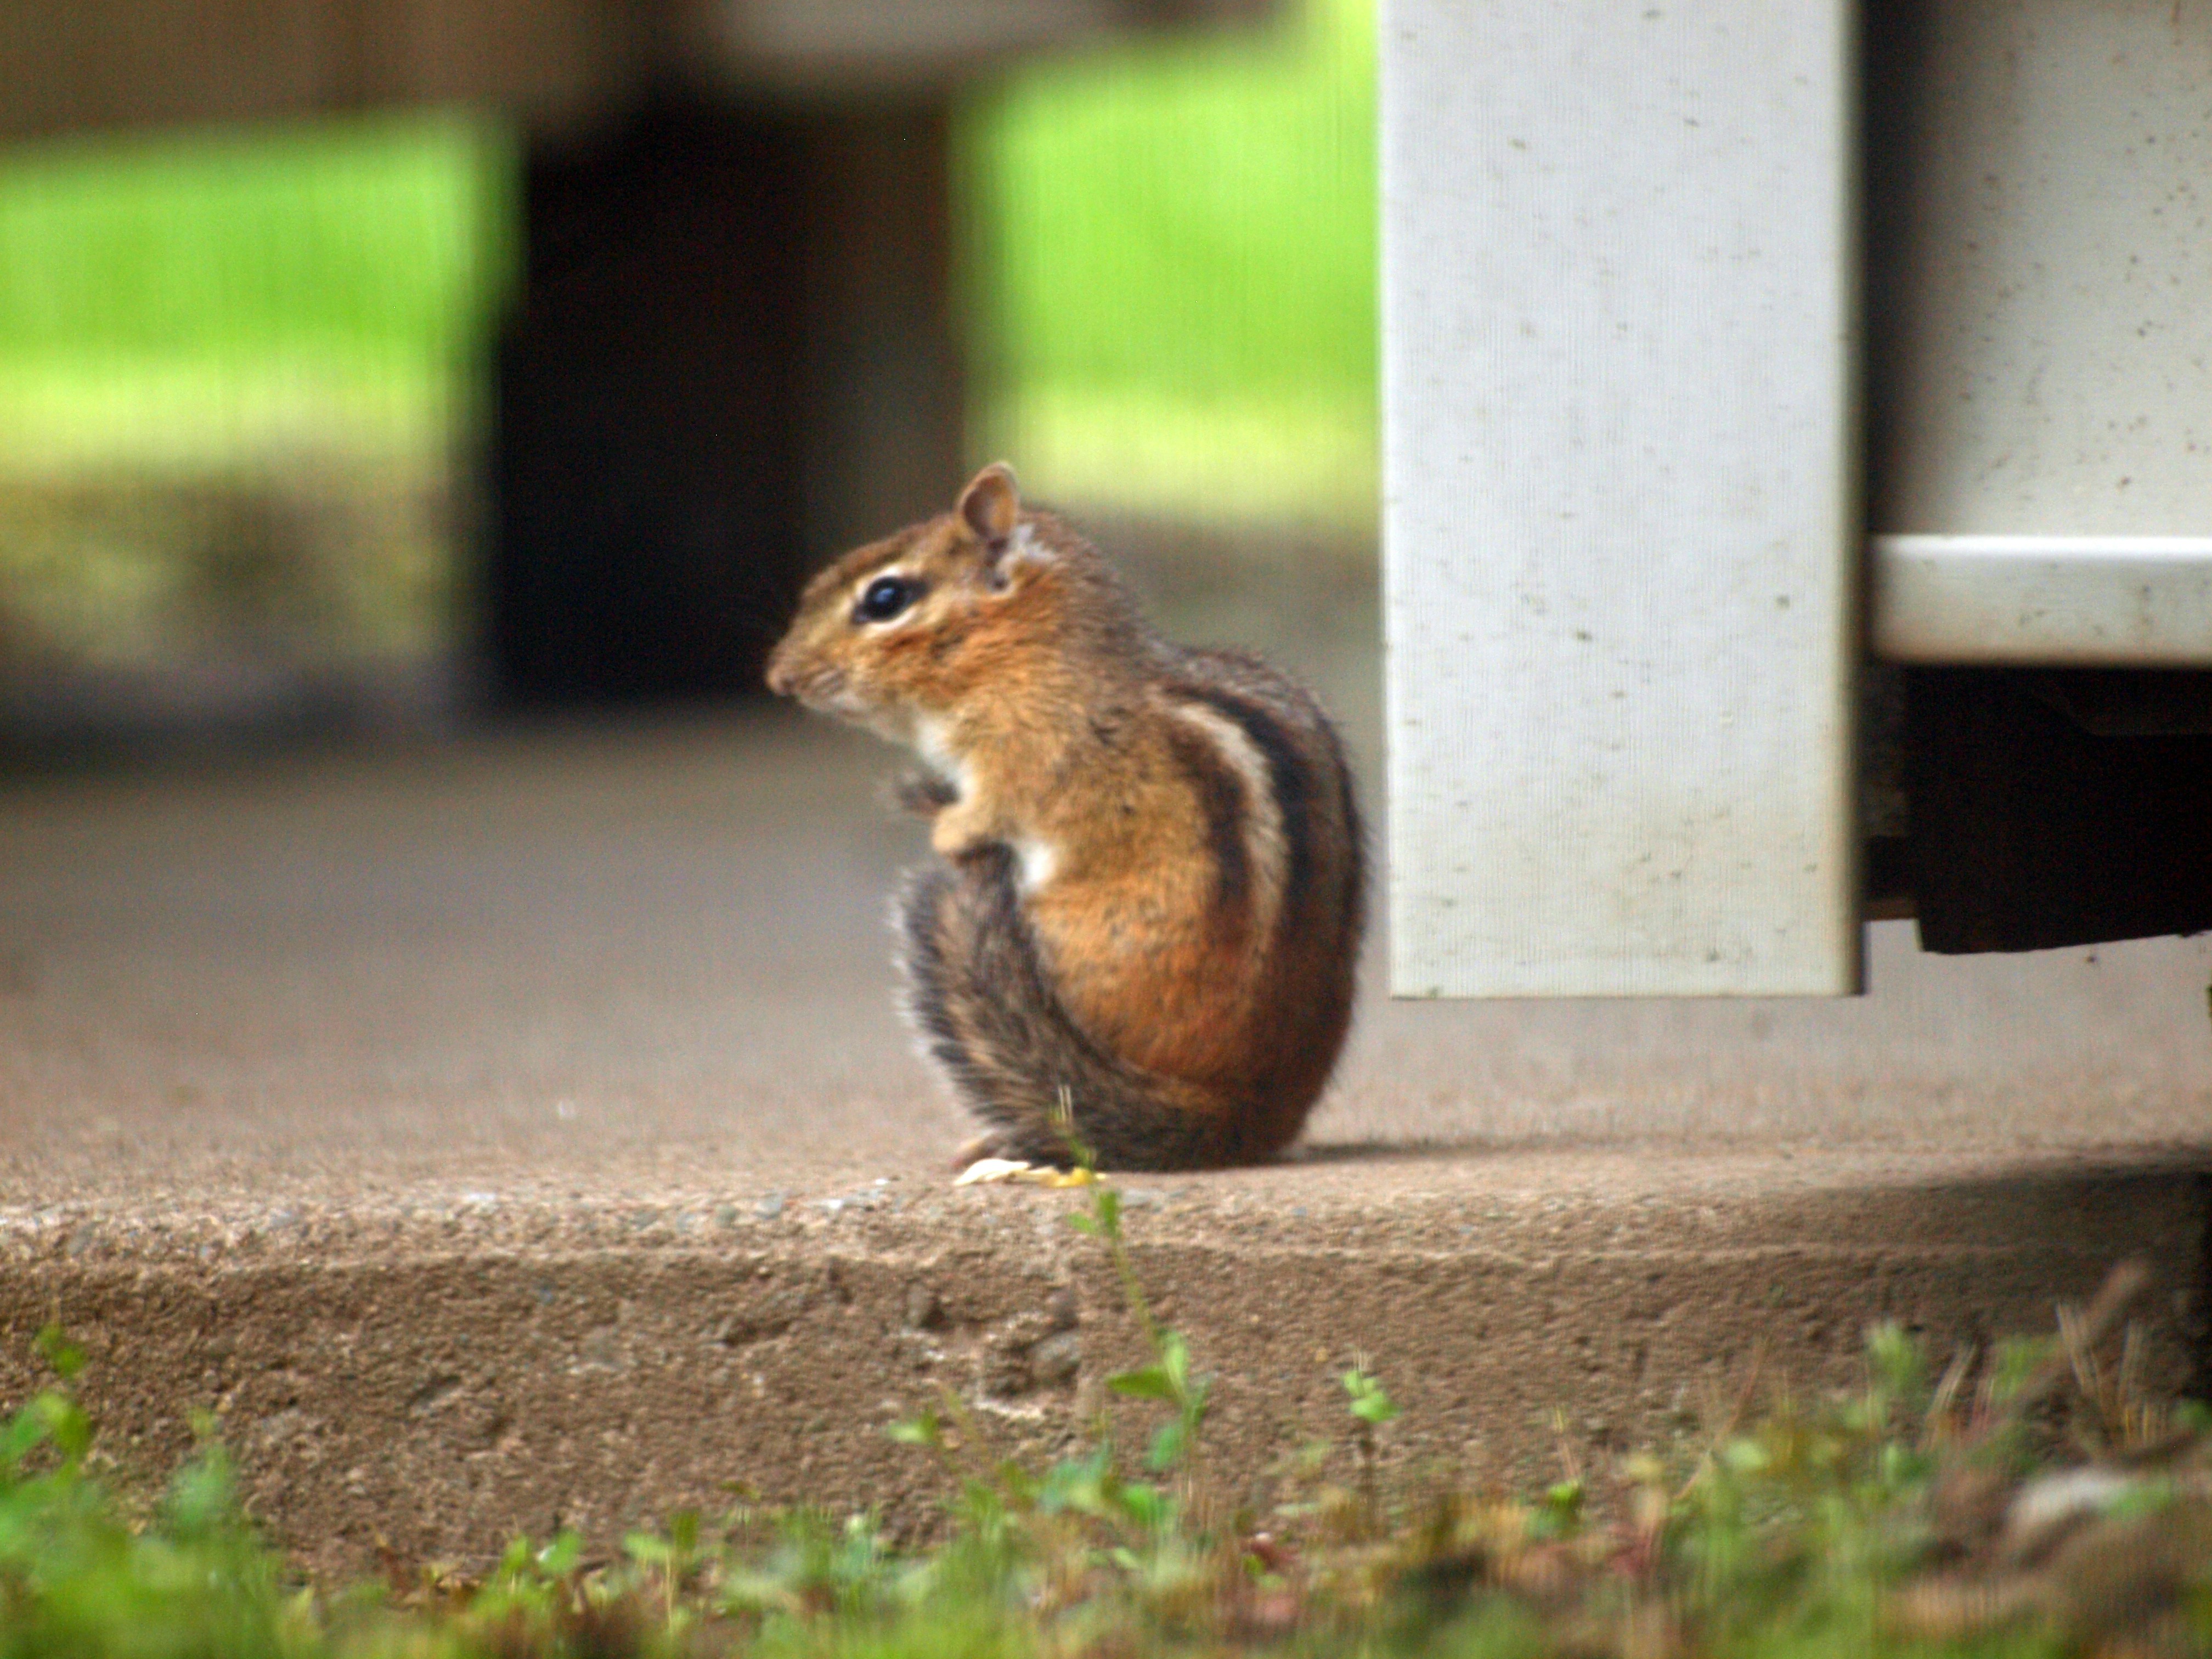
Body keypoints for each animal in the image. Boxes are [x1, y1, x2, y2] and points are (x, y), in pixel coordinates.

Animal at [764, 463, 1364, 1171]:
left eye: (885, 599)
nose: (780, 678)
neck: (1028, 653)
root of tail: (1247, 1111)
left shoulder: (1023, 756)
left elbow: (994, 807)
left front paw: (949, 830)